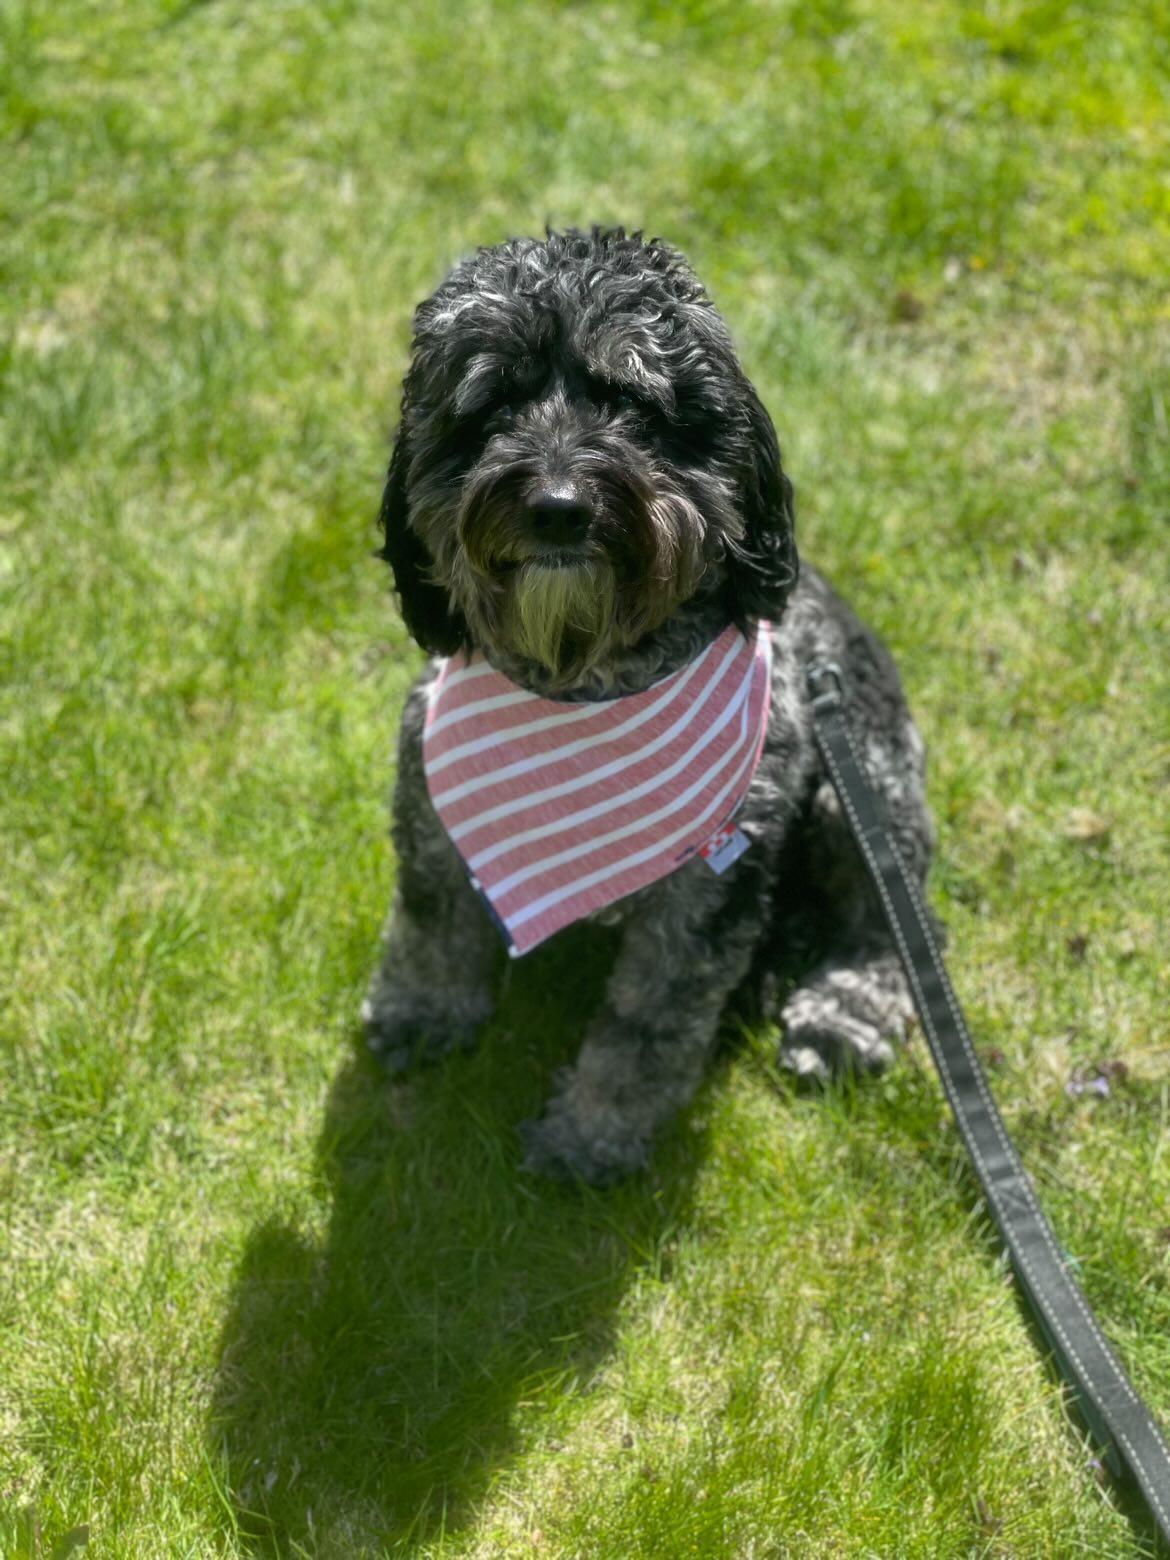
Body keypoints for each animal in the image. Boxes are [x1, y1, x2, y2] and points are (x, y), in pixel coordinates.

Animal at [366, 227, 935, 1179]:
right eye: (492, 405)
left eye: (630, 402)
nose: (558, 507)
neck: (581, 686)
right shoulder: (431, 807)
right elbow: (431, 921)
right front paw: (423, 1005)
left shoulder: (708, 892)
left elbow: (646, 1030)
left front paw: (592, 1133)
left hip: (860, 794)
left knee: (897, 923)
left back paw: (843, 1013)